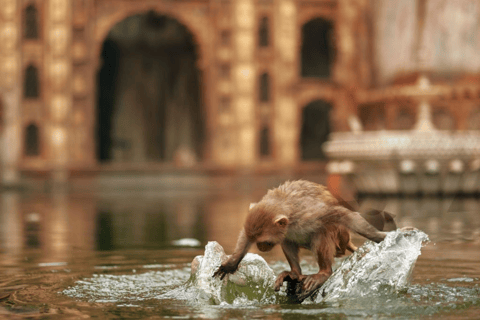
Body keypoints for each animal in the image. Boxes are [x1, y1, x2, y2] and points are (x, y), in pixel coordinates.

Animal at [214, 181, 394, 296]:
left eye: (265, 242)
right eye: (258, 242)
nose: (260, 247)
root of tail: (345, 241)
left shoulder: (311, 213)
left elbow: (343, 215)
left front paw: (380, 236)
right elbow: (245, 235)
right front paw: (231, 263)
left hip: (338, 239)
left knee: (322, 233)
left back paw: (323, 273)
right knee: (287, 240)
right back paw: (294, 273)